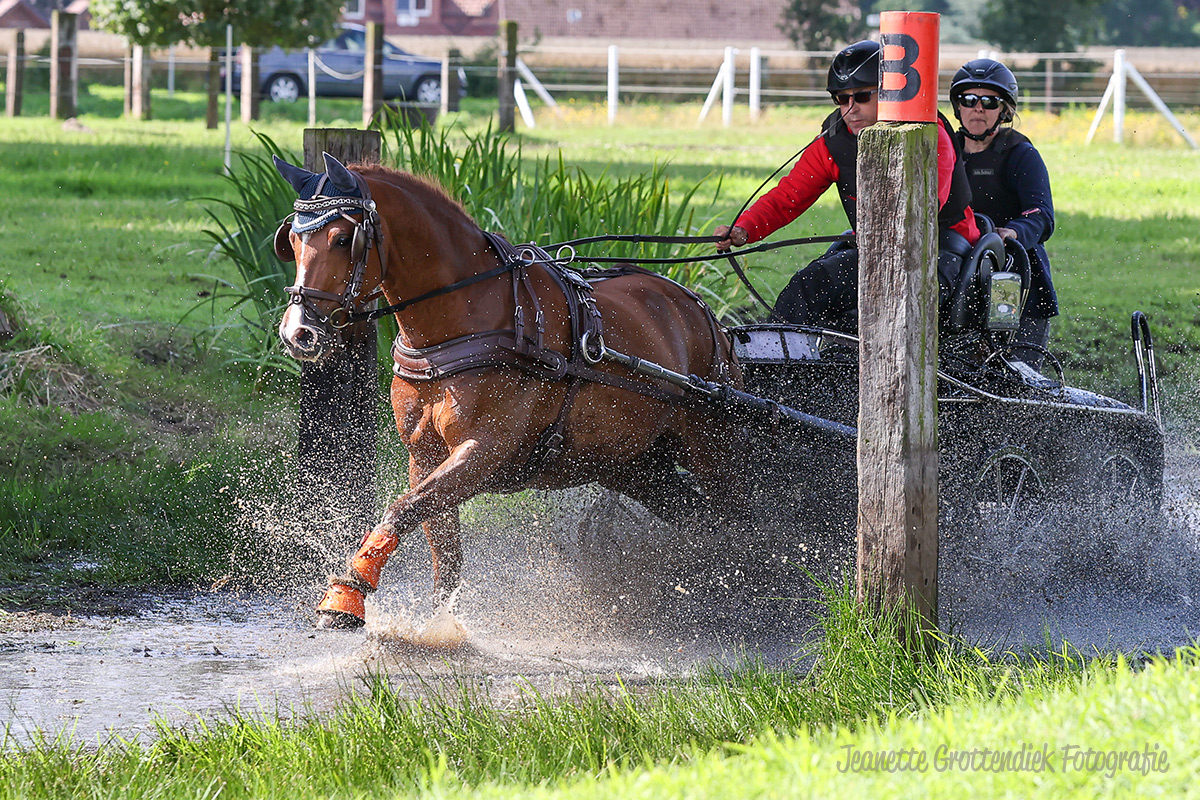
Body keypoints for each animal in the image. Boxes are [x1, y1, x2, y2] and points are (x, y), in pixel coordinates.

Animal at [274, 153, 739, 628]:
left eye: (342, 238)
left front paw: (345, 596)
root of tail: (706, 317)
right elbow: (442, 547)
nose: (298, 333)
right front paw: (440, 625)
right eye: (291, 239)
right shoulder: (423, 456)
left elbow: (402, 509)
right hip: (634, 465)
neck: (465, 319)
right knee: (703, 518)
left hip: (713, 449)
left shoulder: (484, 450)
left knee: (745, 514)